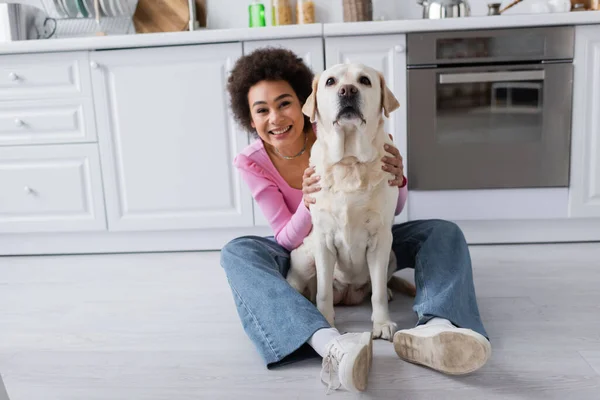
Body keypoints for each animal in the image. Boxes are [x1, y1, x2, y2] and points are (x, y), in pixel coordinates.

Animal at [288, 63, 414, 340]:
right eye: (331, 81)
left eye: (365, 80)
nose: (347, 91)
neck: (350, 162)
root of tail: (347, 295)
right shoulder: (323, 240)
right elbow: (323, 292)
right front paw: (325, 320)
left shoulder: (379, 239)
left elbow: (378, 293)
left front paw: (382, 324)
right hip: (304, 256)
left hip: (391, 253)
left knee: (379, 285)